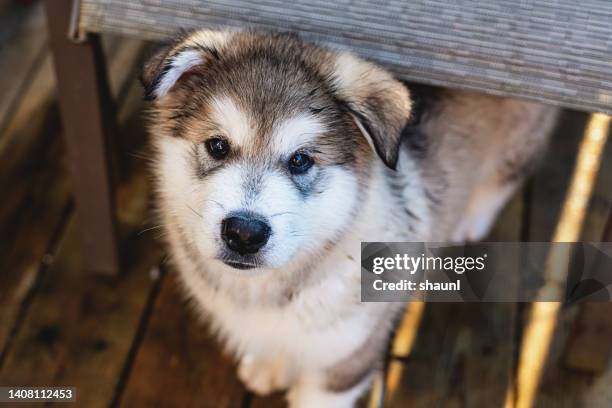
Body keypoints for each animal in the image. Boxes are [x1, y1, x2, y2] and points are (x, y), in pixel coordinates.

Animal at [142, 30, 560, 406]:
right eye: (217, 146)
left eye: (300, 160)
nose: (244, 233)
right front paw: (270, 364)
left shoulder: (345, 364)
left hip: (522, 129)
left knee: (511, 171)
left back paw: (472, 217)